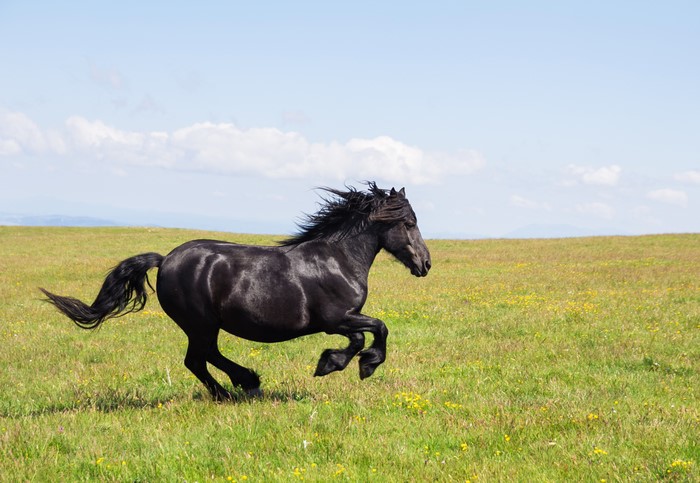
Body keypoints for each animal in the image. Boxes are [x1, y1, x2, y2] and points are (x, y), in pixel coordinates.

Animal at [40, 182, 432, 401]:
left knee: (202, 358)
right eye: (409, 223)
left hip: (203, 325)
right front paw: (350, 365)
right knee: (198, 359)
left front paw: (339, 363)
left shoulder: (342, 320)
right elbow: (375, 330)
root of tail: (165, 260)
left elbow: (365, 334)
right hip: (200, 323)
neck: (337, 259)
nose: (425, 264)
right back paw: (240, 387)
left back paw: (240, 385)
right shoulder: (336, 319)